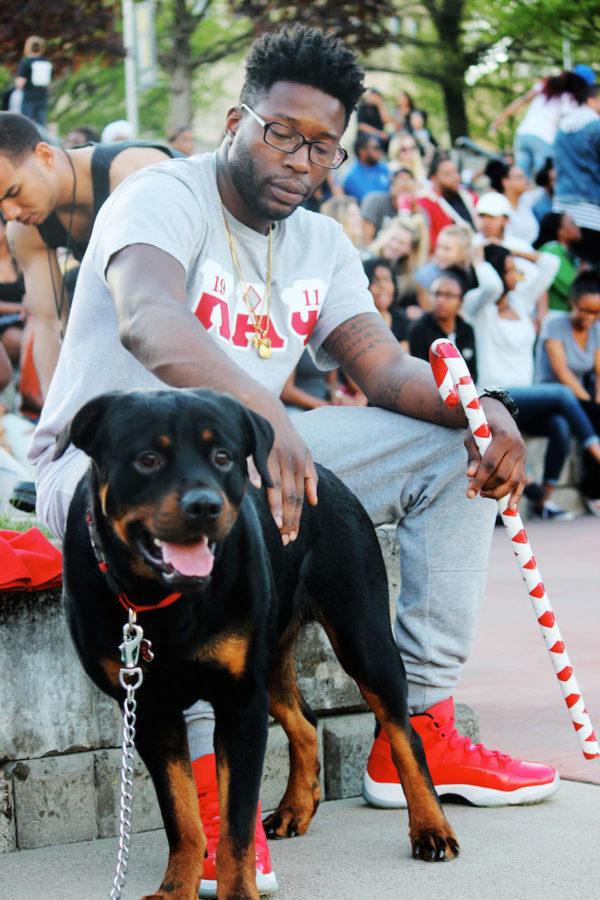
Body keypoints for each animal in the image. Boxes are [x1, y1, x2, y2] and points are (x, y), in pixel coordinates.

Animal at [57, 388, 460, 900]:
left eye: (223, 456)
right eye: (147, 459)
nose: (204, 505)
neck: (161, 598)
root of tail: (325, 477)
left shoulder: (240, 702)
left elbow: (235, 822)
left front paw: (237, 890)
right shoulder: (149, 709)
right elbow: (181, 814)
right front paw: (176, 888)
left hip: (362, 637)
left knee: (403, 732)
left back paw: (431, 829)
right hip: (271, 657)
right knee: (305, 722)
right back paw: (295, 810)